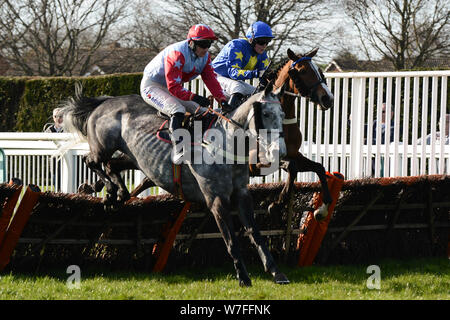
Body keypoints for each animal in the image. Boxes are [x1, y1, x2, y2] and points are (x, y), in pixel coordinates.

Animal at [60, 82, 288, 284]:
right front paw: (243, 277)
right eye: (266, 114)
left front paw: (277, 273)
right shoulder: (216, 198)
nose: (281, 151)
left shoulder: (241, 193)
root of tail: (104, 102)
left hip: (133, 157)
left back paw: (117, 192)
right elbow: (230, 239)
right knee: (90, 160)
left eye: (283, 115)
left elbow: (256, 233)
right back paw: (109, 189)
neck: (225, 143)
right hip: (103, 146)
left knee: (110, 166)